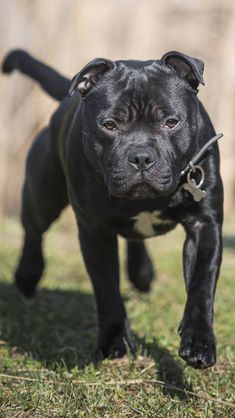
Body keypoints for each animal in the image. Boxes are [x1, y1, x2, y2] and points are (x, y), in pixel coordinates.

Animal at [1, 50, 223, 368]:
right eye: (109, 125)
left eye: (171, 122)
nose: (141, 157)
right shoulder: (95, 231)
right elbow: (107, 291)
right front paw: (114, 343)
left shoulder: (205, 226)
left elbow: (201, 286)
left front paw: (199, 342)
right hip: (42, 192)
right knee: (34, 230)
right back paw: (27, 275)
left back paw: (141, 272)